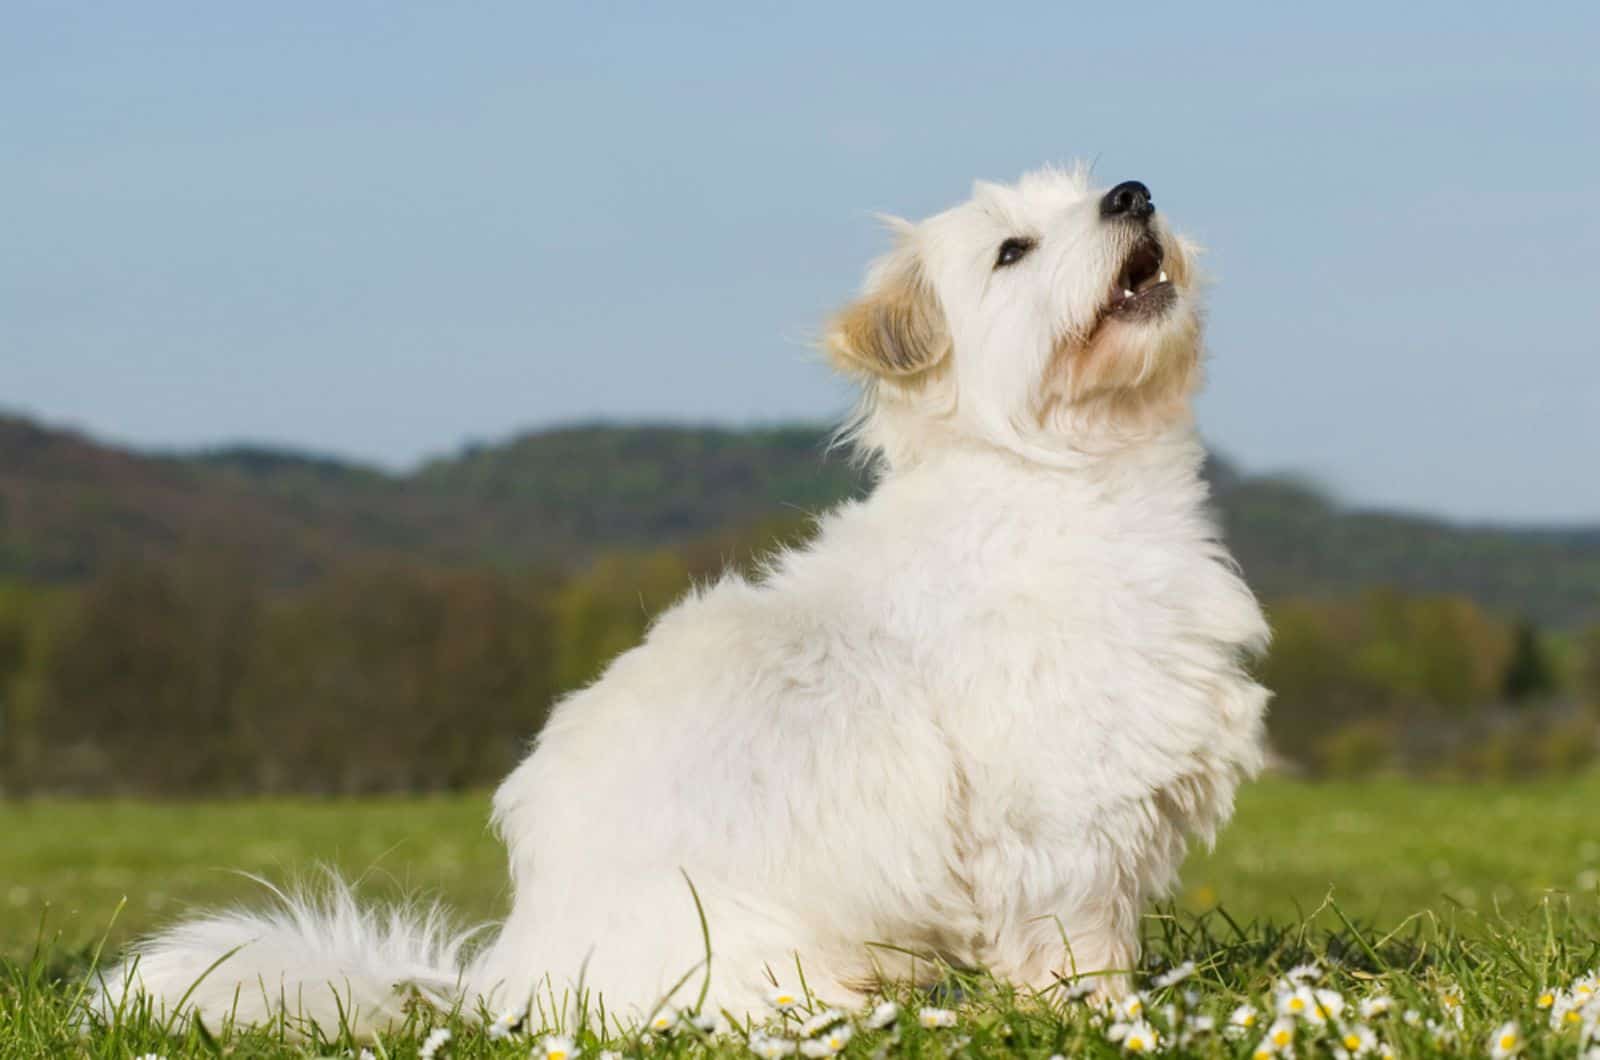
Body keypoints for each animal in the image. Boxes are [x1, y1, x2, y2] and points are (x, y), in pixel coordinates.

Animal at [106, 166, 1267, 1037]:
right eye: (1012, 252)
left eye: (1093, 190)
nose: (1131, 194)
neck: (1064, 478)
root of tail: (506, 982)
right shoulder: (1055, 819)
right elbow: (1071, 944)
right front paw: (1094, 1019)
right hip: (757, 952)